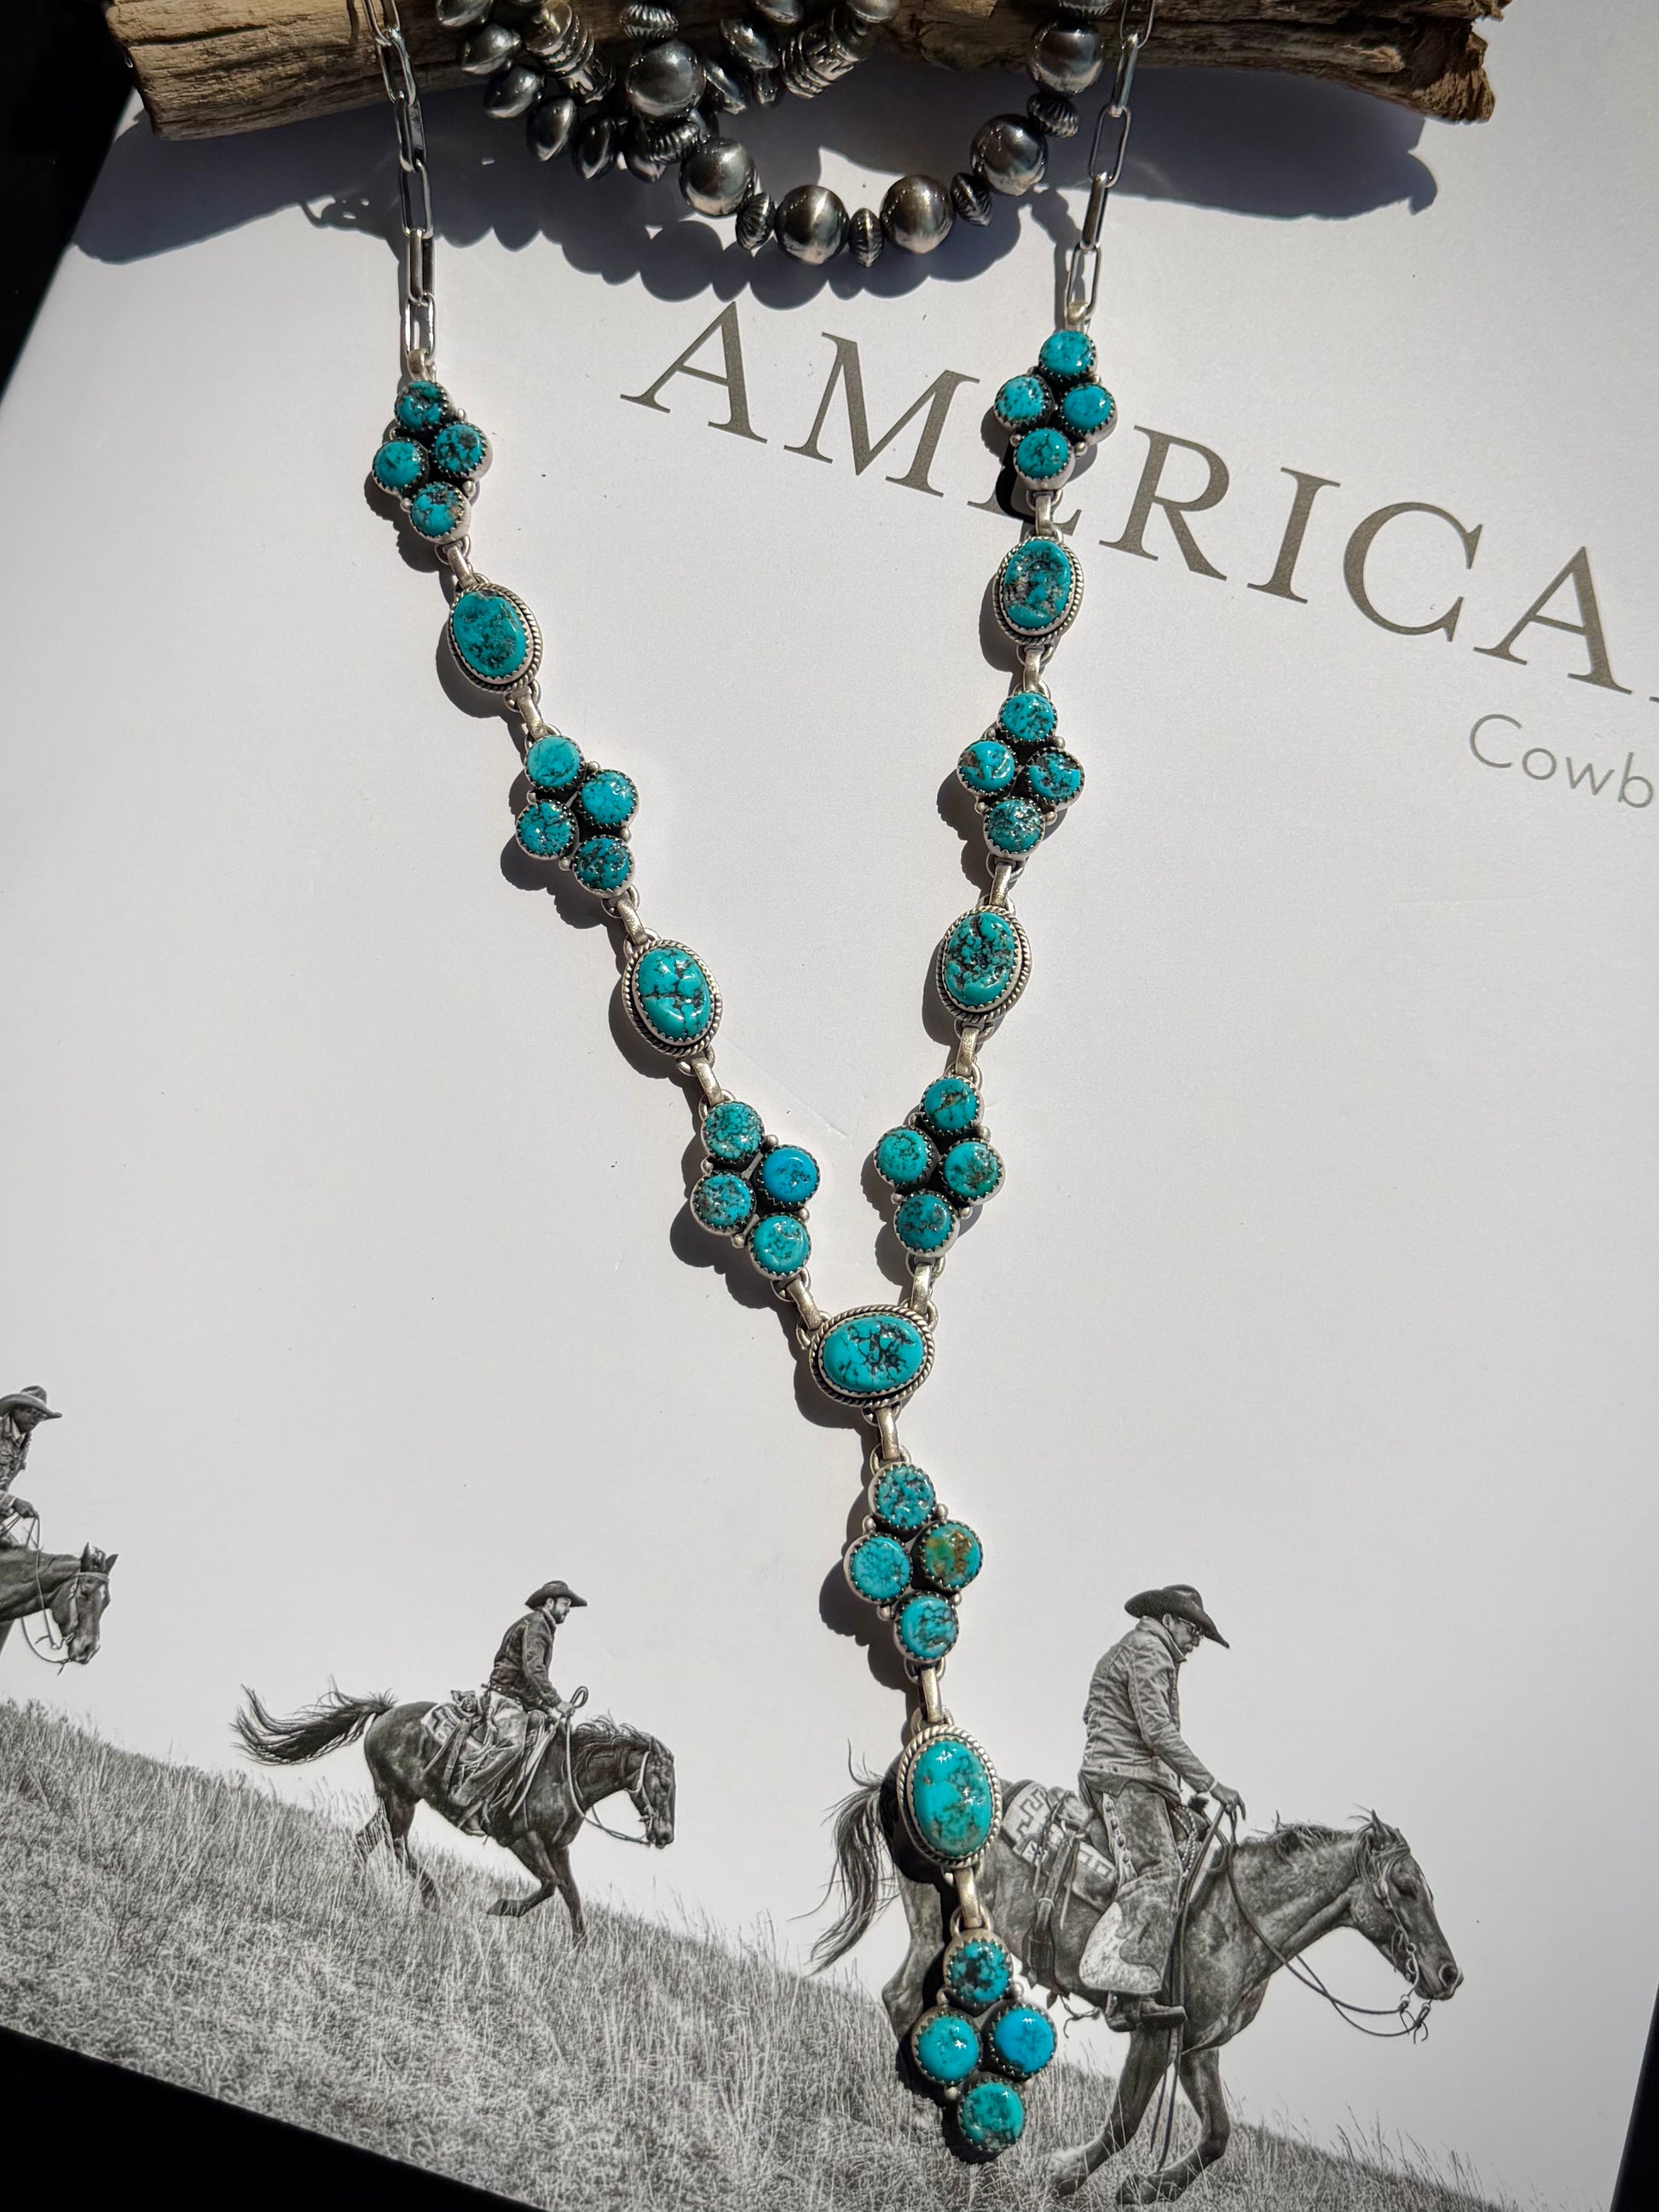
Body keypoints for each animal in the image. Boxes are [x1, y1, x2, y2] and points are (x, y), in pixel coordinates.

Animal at [235, 1684, 675, 1936]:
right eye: (665, 1783)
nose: (666, 1835)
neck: (565, 1774)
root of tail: (386, 1712)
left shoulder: (557, 1849)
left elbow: (572, 1897)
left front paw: (578, 1952)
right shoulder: (522, 1841)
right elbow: (551, 1887)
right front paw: (501, 1907)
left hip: (393, 1799)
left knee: (366, 1841)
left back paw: (359, 1889)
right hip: (399, 1799)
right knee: (396, 1844)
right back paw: (430, 1897)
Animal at [817, 1769, 1461, 2202]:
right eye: (1406, 1887)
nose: (1448, 1974)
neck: (1236, 1916)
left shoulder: (1198, 2049)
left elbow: (1218, 2135)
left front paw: (1148, 2189)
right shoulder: (1152, 2031)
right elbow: (1125, 2121)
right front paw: (1062, 2176)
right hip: (938, 1932)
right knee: (903, 1998)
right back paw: (934, 2112)